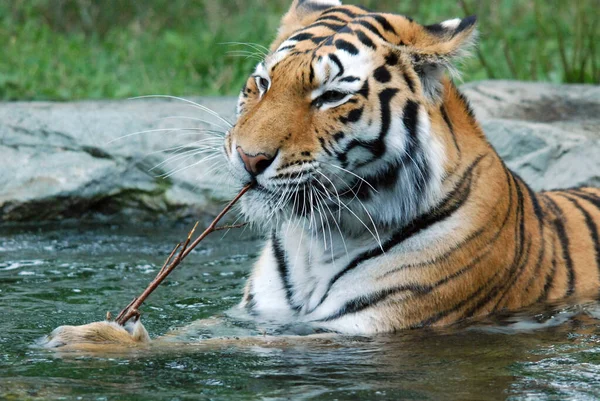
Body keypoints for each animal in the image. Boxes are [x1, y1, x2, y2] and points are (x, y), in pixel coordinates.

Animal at [43, 0, 600, 346]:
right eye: (263, 83)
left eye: (331, 96)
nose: (248, 157)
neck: (323, 232)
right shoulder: (259, 314)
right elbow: (197, 333)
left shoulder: (367, 328)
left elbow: (208, 346)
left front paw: (91, 340)